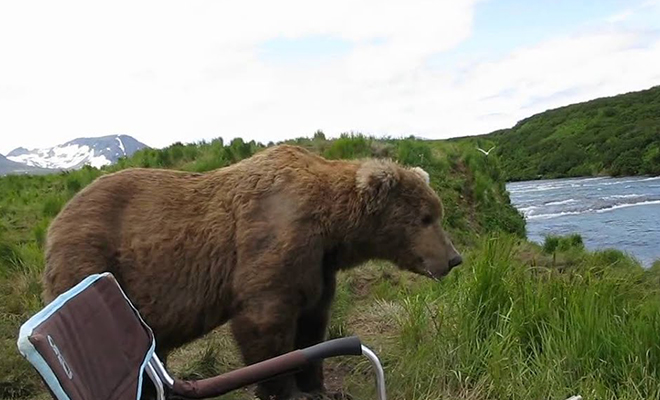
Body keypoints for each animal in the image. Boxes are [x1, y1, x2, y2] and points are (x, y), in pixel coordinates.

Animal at [42, 144, 464, 400]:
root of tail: (57, 220)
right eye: (426, 218)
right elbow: (264, 326)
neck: (332, 228)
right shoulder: (272, 243)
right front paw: (284, 389)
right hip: (92, 258)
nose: (453, 258)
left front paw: (317, 385)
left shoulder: (317, 267)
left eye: (436, 213)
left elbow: (313, 324)